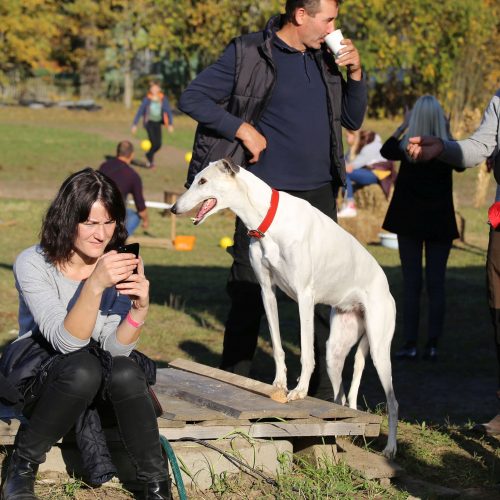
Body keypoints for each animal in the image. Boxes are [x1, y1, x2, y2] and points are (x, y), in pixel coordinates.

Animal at [172, 157, 398, 458]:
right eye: (195, 178)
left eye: (203, 181)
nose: (174, 208)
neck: (269, 220)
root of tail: (385, 286)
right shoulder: (267, 292)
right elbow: (278, 345)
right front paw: (280, 384)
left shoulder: (304, 297)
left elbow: (305, 352)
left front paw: (299, 391)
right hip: (336, 350)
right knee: (341, 394)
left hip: (379, 346)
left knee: (393, 402)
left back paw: (390, 448)